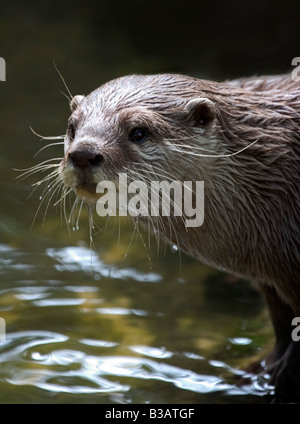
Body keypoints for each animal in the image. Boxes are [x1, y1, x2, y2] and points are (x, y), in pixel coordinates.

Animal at [58, 73, 300, 404]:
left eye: (138, 132)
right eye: (73, 126)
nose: (83, 153)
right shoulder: (271, 277)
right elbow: (283, 325)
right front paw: (260, 372)